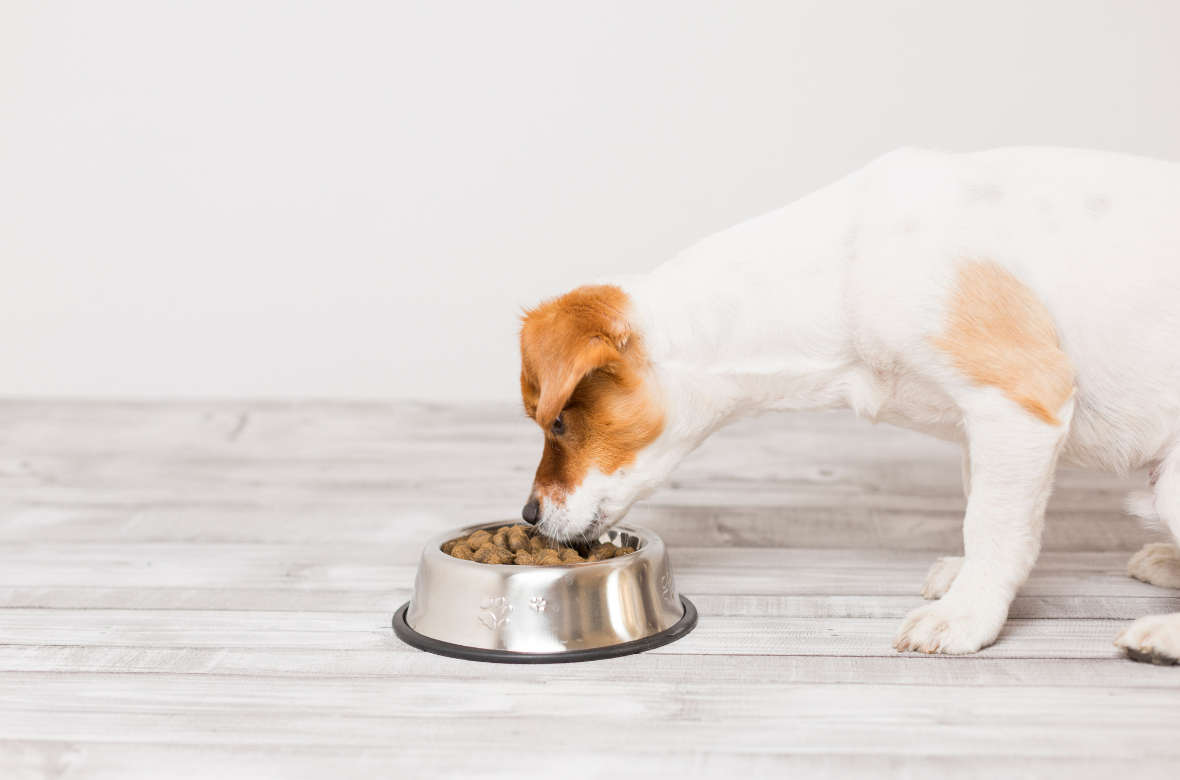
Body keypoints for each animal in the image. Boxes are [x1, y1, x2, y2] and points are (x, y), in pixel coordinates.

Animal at [516, 144, 1180, 656]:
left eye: (558, 422)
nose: (527, 514)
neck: (840, 271)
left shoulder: (1020, 402)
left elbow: (994, 527)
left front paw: (966, 615)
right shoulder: (981, 427)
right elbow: (981, 505)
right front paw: (964, 580)